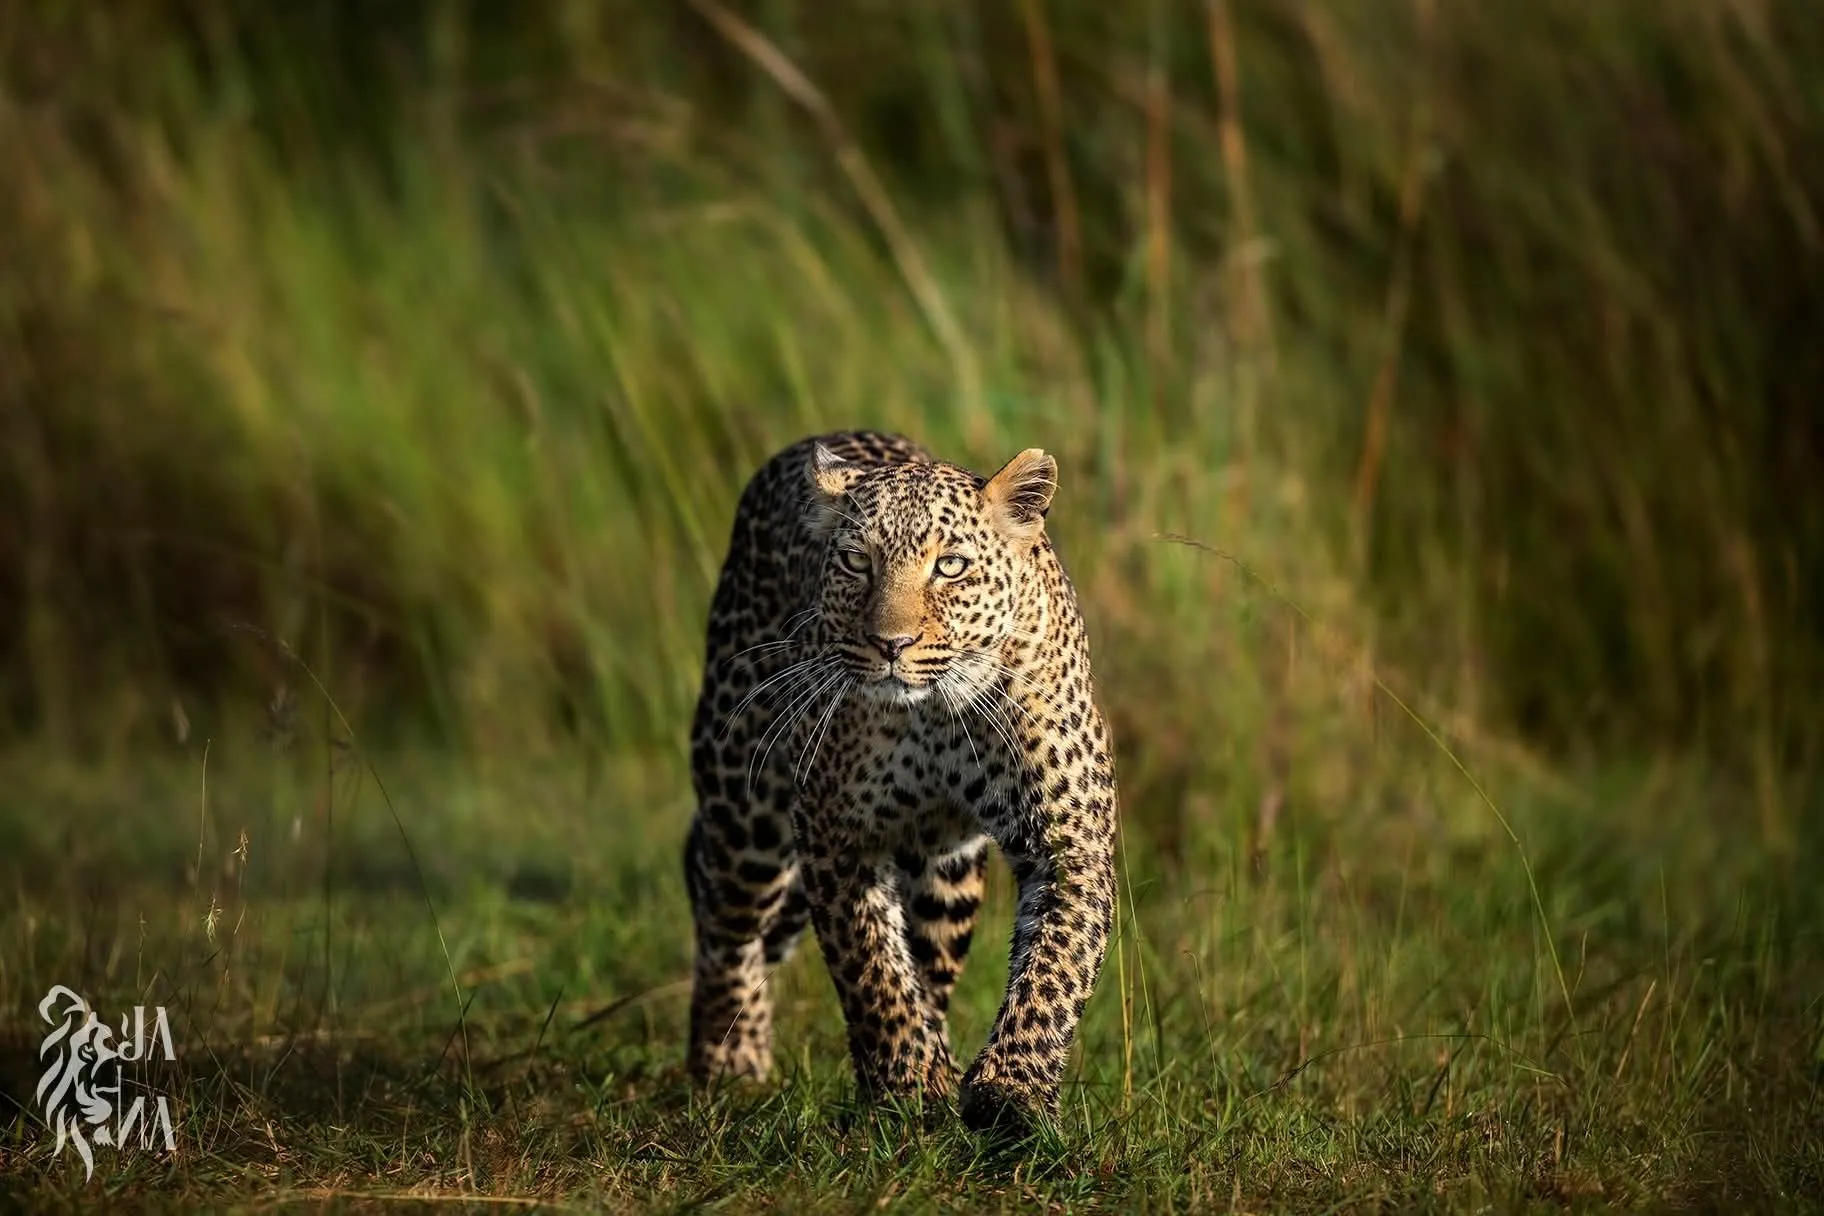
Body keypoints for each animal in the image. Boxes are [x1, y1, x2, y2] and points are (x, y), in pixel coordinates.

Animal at [682, 429, 1119, 1134]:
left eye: (951, 567)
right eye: (857, 562)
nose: (892, 643)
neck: (937, 713)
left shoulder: (1069, 841)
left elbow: (1055, 969)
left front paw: (1011, 1093)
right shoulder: (835, 834)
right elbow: (872, 969)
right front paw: (911, 1084)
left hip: (948, 878)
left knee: (929, 960)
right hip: (744, 809)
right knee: (727, 924)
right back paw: (728, 1062)